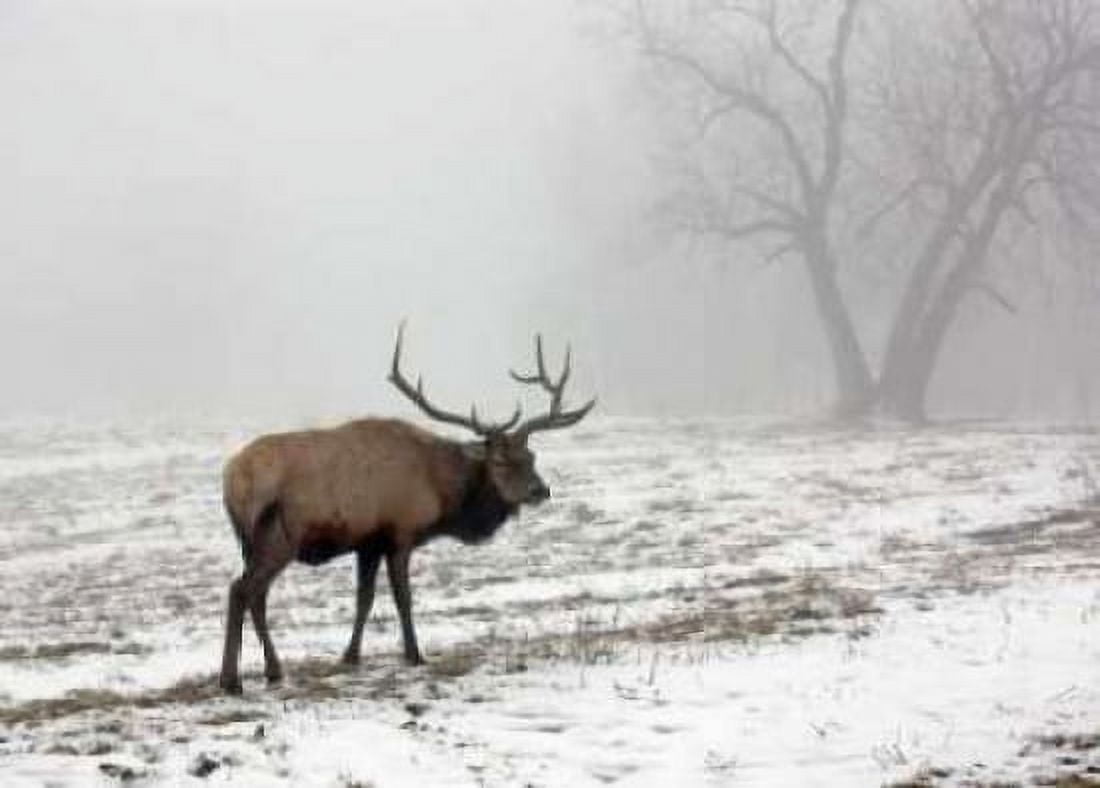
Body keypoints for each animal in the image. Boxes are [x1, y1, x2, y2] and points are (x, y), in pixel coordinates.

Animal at [218, 325, 596, 694]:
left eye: (531, 457)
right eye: (501, 462)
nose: (540, 490)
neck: (440, 491)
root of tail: (232, 478)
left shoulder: (368, 543)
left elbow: (365, 599)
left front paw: (351, 656)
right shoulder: (400, 533)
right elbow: (403, 597)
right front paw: (415, 655)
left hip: (250, 542)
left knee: (254, 594)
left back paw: (268, 671)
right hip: (279, 535)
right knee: (242, 590)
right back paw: (234, 679)